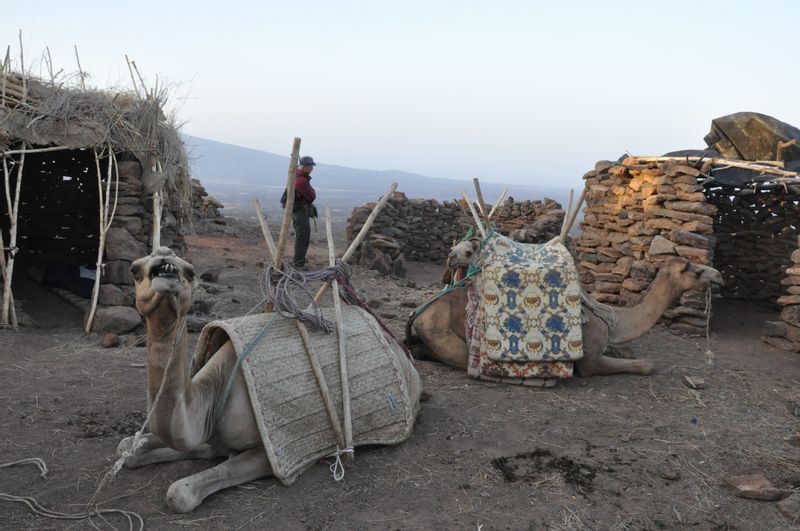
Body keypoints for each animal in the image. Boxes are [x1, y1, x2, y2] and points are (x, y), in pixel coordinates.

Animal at [118, 247, 418, 512]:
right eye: (134, 269)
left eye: (191, 272)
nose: (165, 262)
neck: (211, 395)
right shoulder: (213, 436)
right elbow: (129, 447)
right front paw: (135, 450)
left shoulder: (268, 453)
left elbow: (180, 493)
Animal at [410, 241, 720, 378]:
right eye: (693, 269)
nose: (717, 274)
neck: (615, 322)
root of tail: (418, 314)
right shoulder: (590, 360)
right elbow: (645, 364)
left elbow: (630, 353)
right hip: (444, 334)